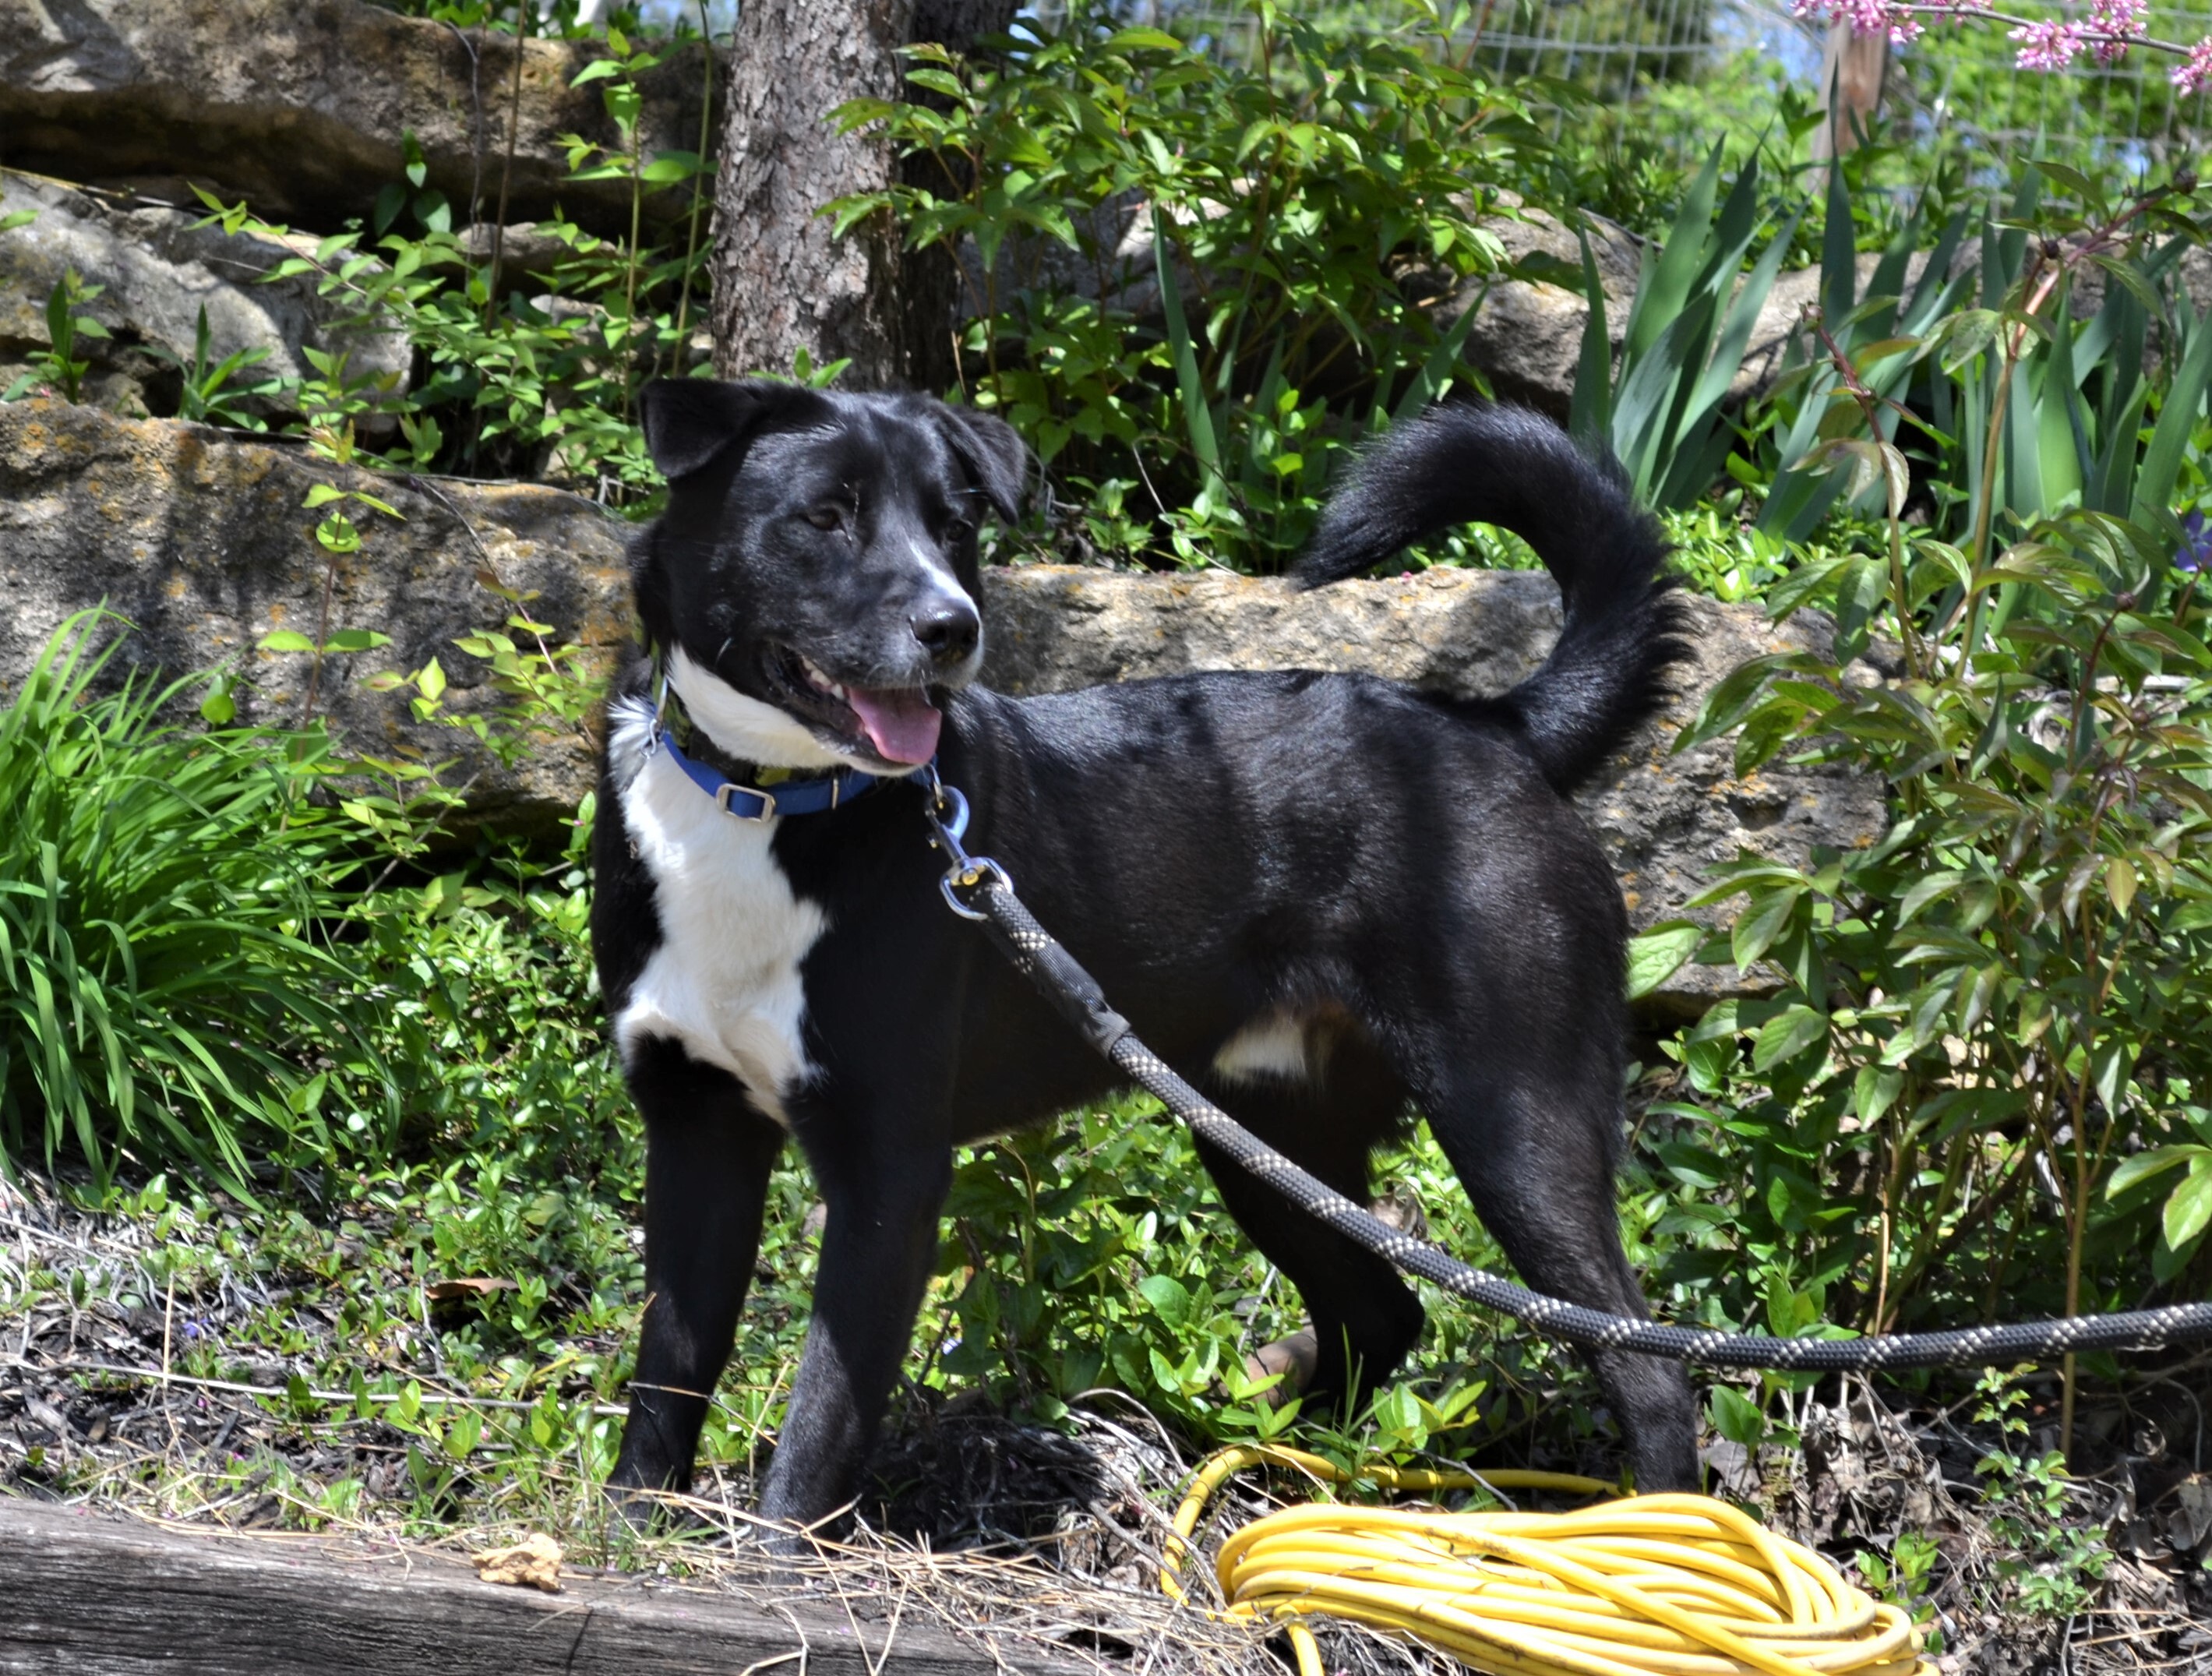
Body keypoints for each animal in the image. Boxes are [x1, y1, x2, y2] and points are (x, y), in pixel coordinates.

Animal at [588, 380, 1689, 1539]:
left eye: (953, 525)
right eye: (825, 517)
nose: (952, 628)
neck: (766, 800)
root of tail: (1498, 730)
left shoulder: (888, 1165)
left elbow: (825, 1409)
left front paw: (778, 1555)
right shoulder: (697, 1130)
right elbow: (671, 1362)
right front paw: (627, 1530)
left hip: (1513, 1116)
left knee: (1648, 1367)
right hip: (1266, 1136)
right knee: (1379, 1313)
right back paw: (1281, 1481)